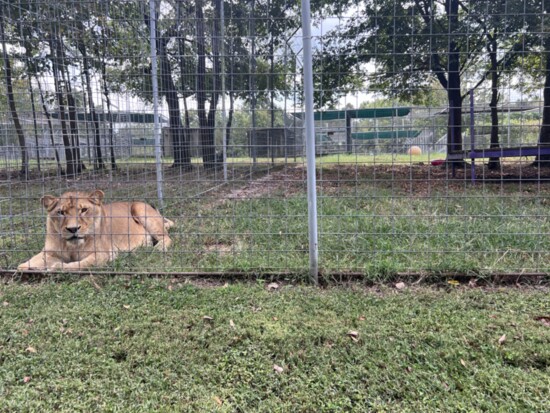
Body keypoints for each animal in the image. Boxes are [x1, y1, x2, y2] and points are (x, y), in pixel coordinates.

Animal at [17, 189, 174, 270]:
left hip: (139, 208)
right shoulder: (49, 252)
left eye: (83, 210)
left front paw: (56, 267)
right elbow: (28, 262)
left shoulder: (103, 254)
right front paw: (25, 267)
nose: (73, 229)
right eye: (61, 212)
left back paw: (158, 248)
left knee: (167, 238)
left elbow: (80, 264)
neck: (71, 246)